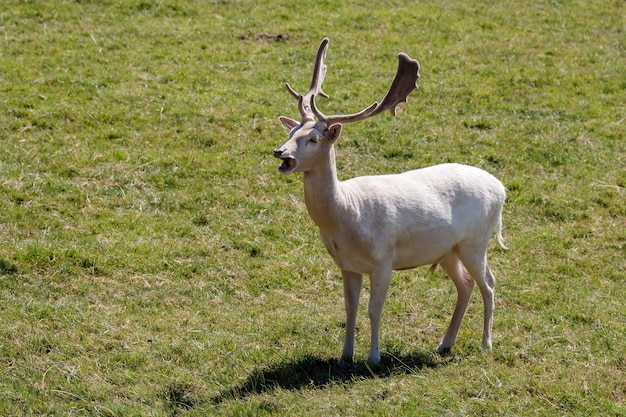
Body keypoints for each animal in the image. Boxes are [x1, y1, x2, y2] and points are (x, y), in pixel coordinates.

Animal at [270, 39, 504, 364]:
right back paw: (444, 344)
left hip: (475, 241)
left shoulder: (384, 259)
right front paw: (345, 356)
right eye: (291, 131)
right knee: (466, 285)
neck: (346, 216)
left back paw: (486, 345)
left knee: (490, 283)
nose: (279, 152)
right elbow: (350, 308)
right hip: (448, 250)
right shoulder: (347, 265)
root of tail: (501, 189)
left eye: (314, 139)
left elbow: (374, 309)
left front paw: (374, 359)